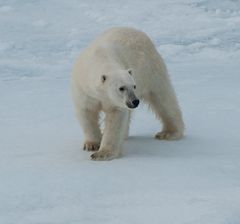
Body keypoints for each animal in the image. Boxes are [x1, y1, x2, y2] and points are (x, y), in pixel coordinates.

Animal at [71, 27, 184, 161]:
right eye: (121, 88)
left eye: (134, 86)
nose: (135, 101)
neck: (100, 58)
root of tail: (137, 31)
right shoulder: (85, 91)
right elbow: (86, 112)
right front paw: (92, 145)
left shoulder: (116, 102)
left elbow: (115, 119)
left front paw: (102, 153)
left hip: (151, 69)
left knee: (163, 99)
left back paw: (168, 133)